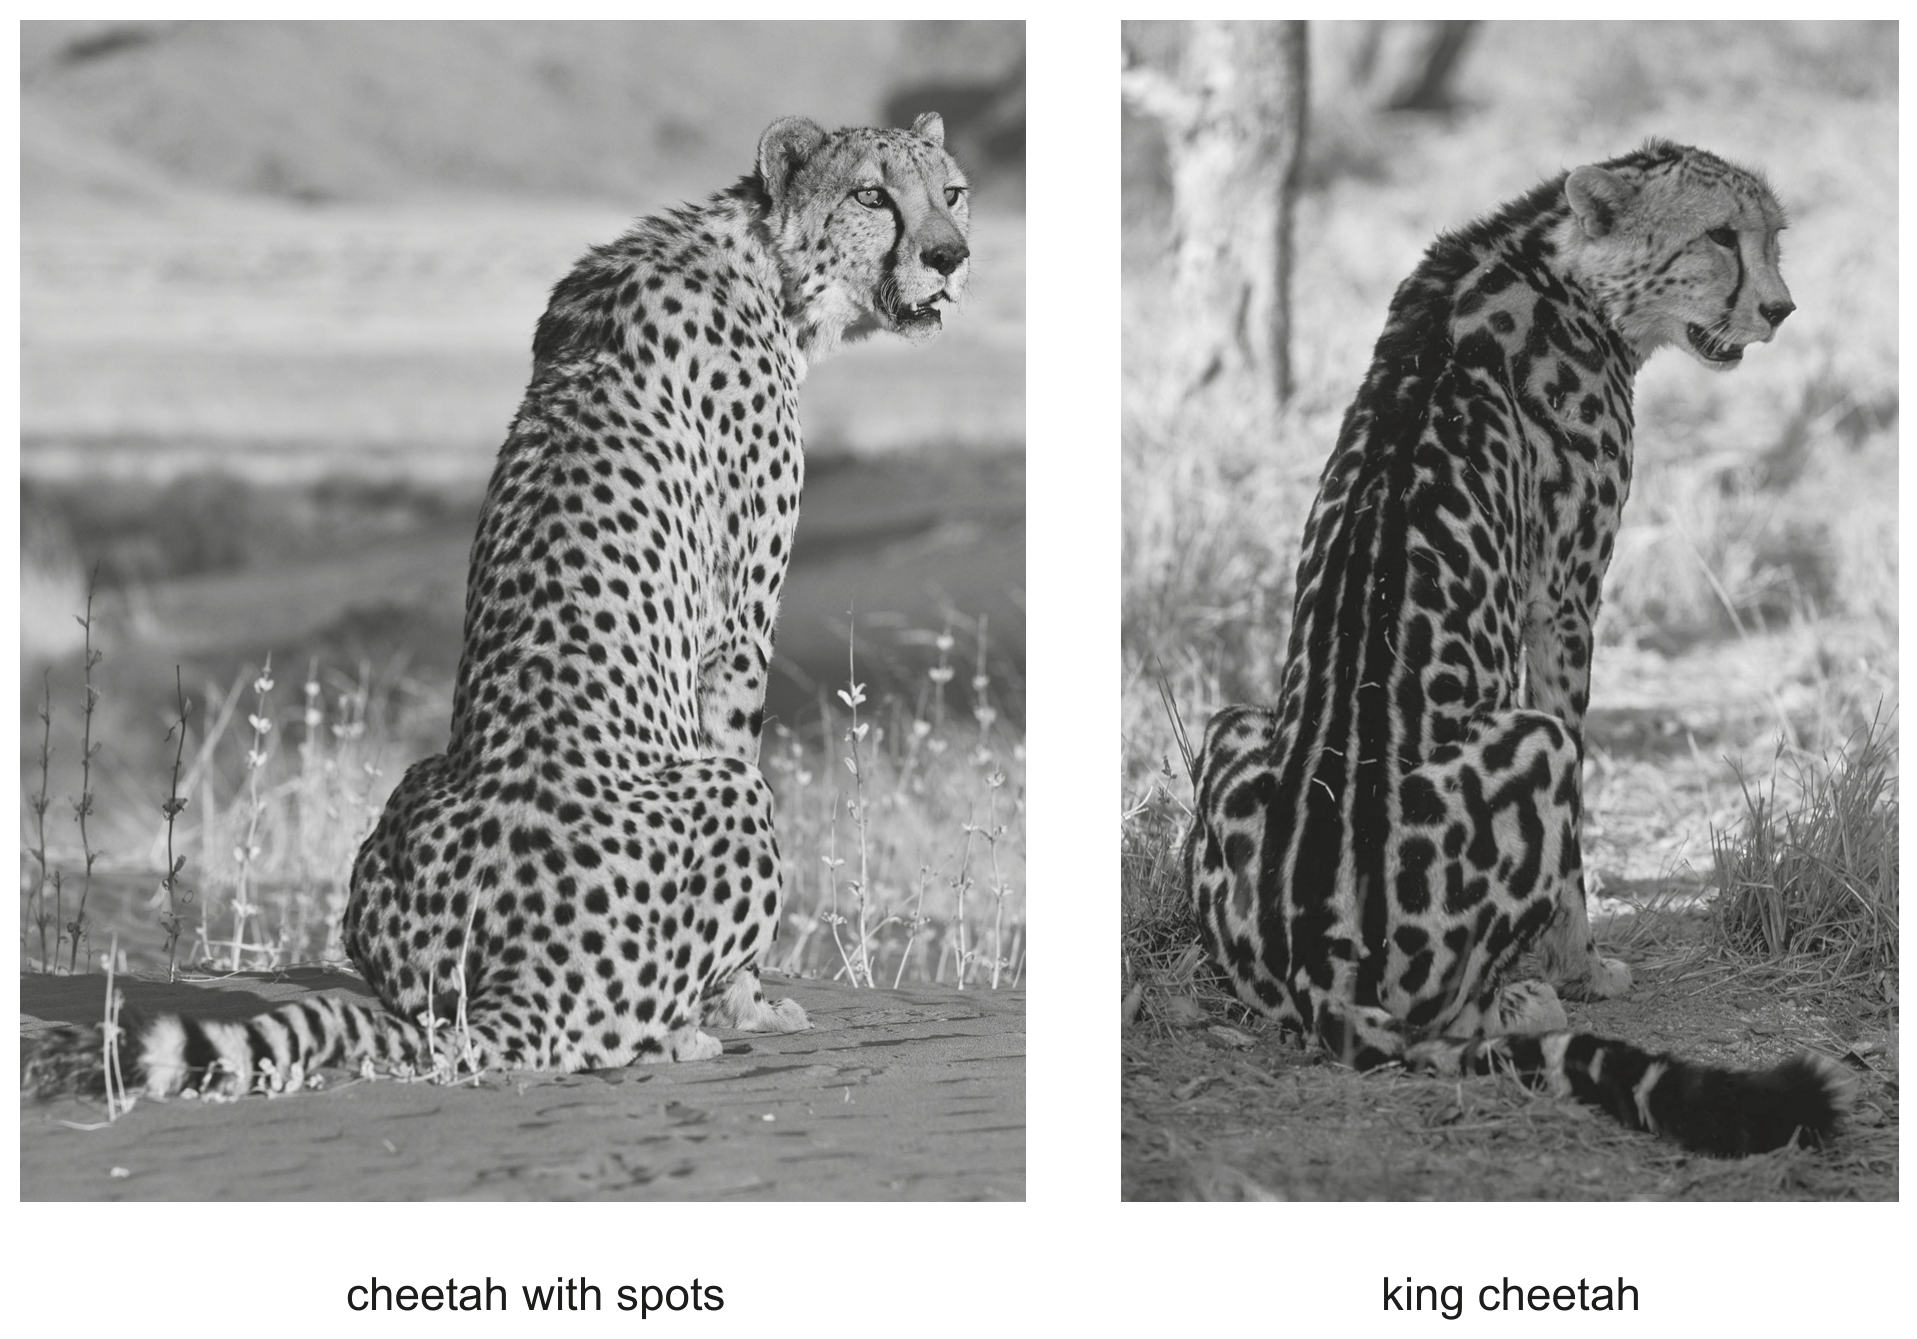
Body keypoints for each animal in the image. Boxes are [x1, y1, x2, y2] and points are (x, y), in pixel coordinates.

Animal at [25, 112, 971, 1099]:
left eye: (952, 191)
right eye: (871, 195)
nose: (951, 255)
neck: (765, 265)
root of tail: (525, 978)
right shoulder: (739, 628)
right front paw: (751, 1005)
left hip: (412, 805)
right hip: (727, 791)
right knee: (618, 1026)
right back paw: (688, 1035)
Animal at [1183, 140, 1854, 1156]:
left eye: (1771, 237)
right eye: (1717, 236)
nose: (1779, 309)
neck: (1549, 259)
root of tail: (1317, 968)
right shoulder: (1565, 603)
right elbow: (1578, 823)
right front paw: (1581, 963)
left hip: (1231, 726)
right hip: (1524, 746)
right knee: (1438, 1023)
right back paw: (1523, 999)